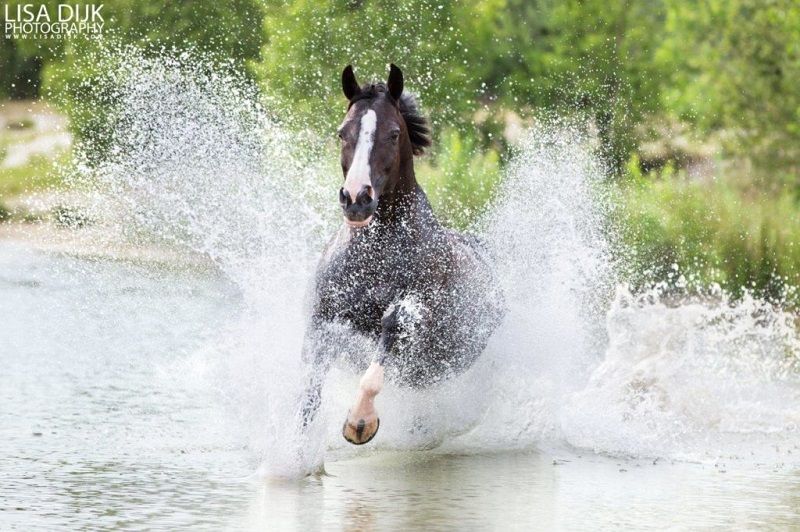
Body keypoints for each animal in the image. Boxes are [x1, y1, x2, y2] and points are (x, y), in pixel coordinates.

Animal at [304, 62, 504, 444]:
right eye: (342, 132)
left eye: (393, 133)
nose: (356, 199)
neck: (376, 256)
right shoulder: (323, 319)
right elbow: (308, 395)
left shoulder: (411, 316)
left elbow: (382, 352)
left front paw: (360, 422)